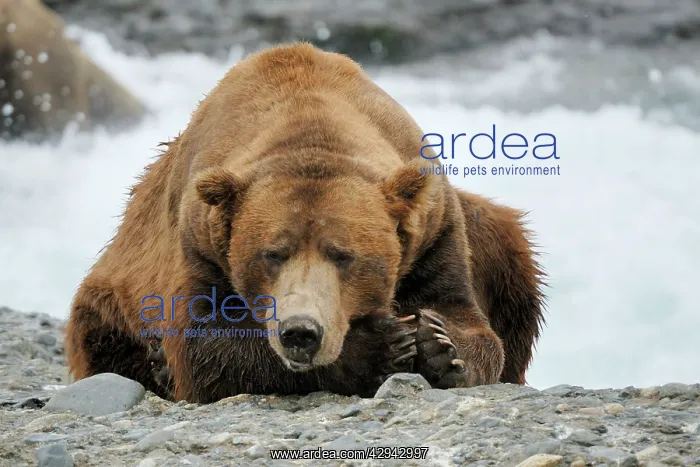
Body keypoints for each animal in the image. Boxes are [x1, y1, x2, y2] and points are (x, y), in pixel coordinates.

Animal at [64, 42, 546, 403]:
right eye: (273, 254)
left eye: (344, 255)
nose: (301, 332)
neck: (310, 122)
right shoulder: (198, 241)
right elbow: (207, 345)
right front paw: (378, 348)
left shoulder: (434, 231)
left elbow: (466, 317)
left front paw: (440, 345)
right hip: (108, 300)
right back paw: (157, 366)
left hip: (494, 240)